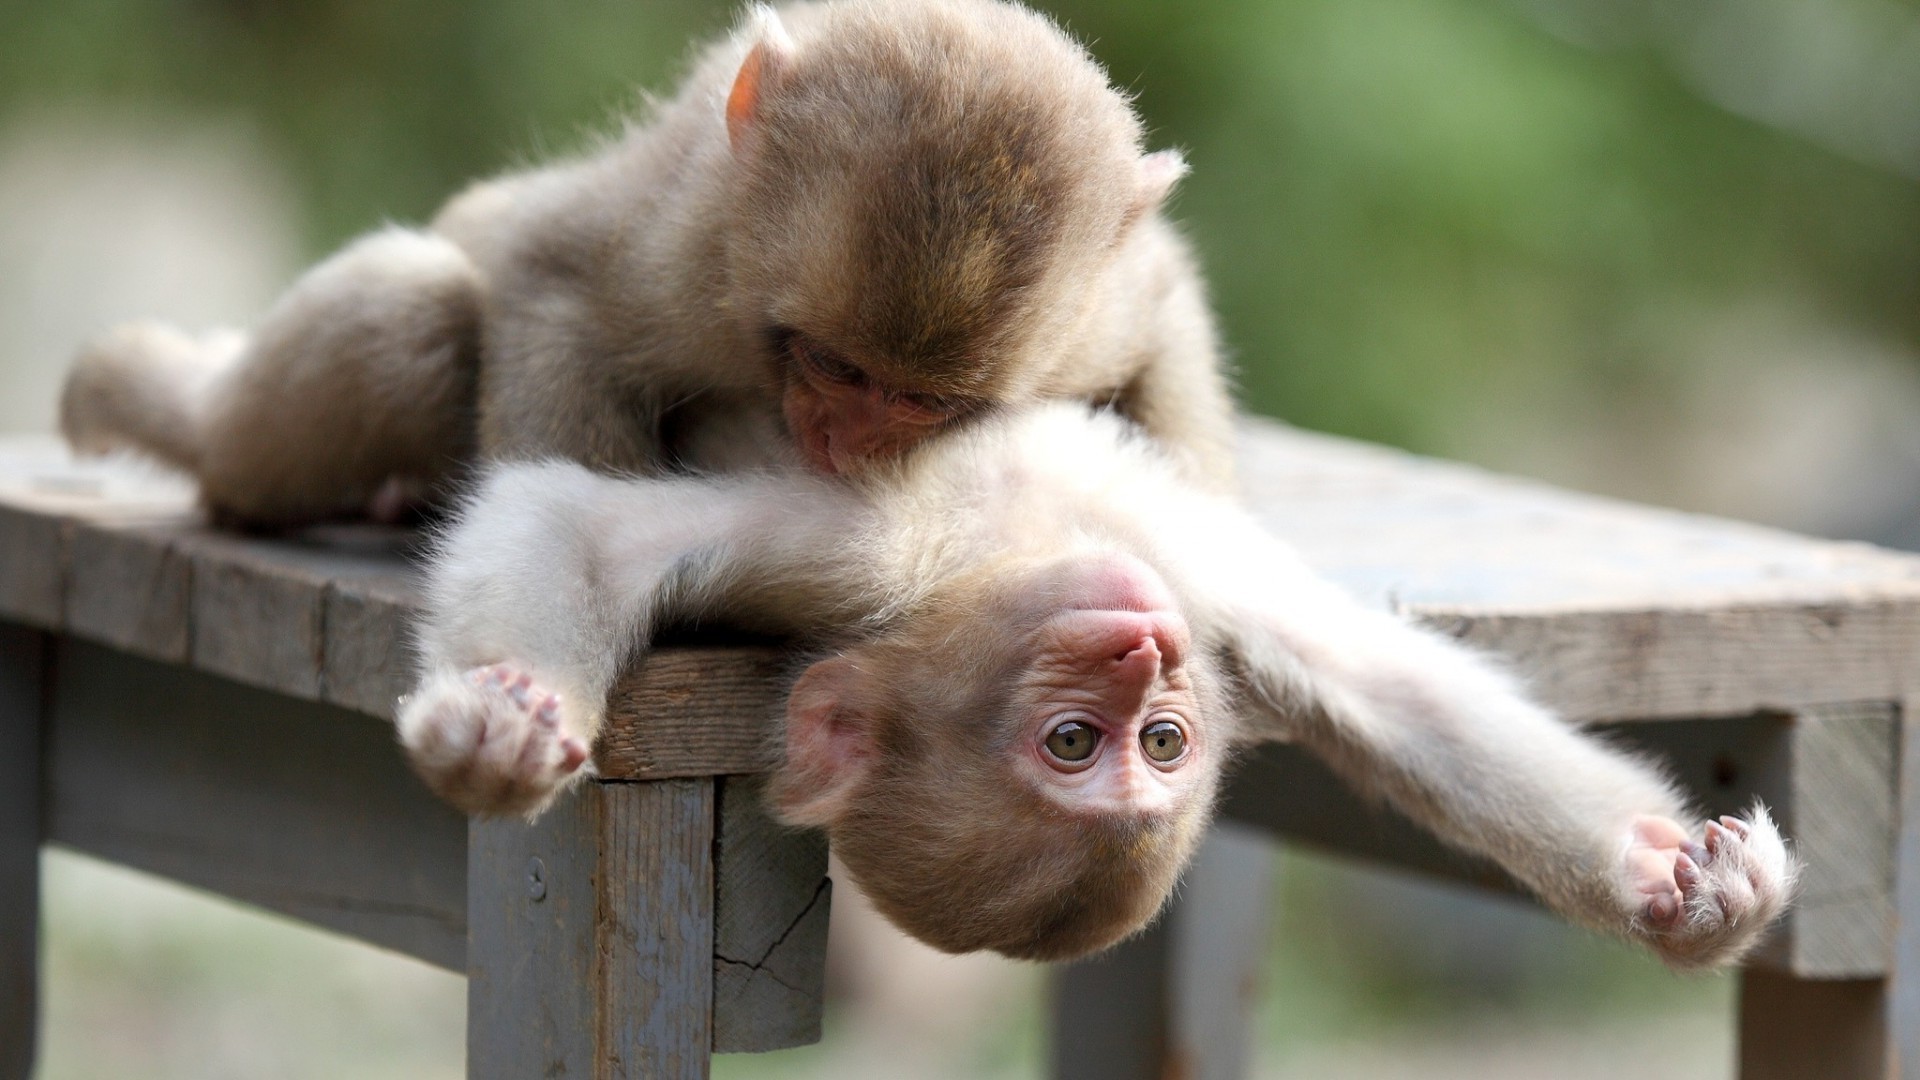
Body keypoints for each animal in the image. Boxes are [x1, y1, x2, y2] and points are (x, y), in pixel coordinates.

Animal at [63, 0, 1228, 522]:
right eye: (836, 368)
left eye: (923, 403)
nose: (843, 443)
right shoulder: (689, 256)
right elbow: (549, 280)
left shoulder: (1091, 313)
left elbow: (1167, 309)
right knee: (415, 316)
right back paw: (192, 431)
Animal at [405, 401, 1797, 957]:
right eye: (1077, 742)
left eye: (1163, 742)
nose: (1142, 651)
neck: (1006, 551)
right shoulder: (869, 559)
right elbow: (574, 522)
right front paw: (495, 734)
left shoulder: (1198, 601)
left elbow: (1392, 688)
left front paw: (1678, 894)